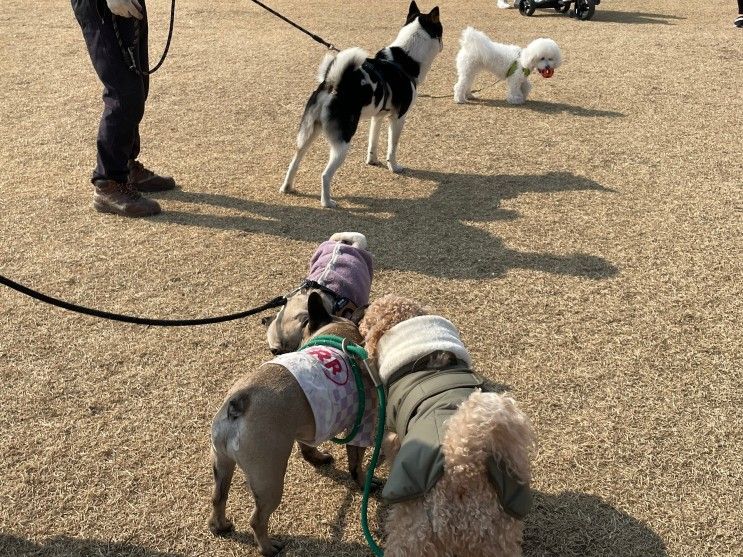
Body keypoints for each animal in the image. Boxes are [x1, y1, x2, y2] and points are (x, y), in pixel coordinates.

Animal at [280, 2, 442, 207]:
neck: (403, 60)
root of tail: (333, 85)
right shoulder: (398, 118)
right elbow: (393, 147)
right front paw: (394, 167)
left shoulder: (378, 117)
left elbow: (373, 142)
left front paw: (372, 161)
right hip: (342, 141)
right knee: (325, 175)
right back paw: (327, 202)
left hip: (308, 133)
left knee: (294, 161)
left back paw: (287, 187)